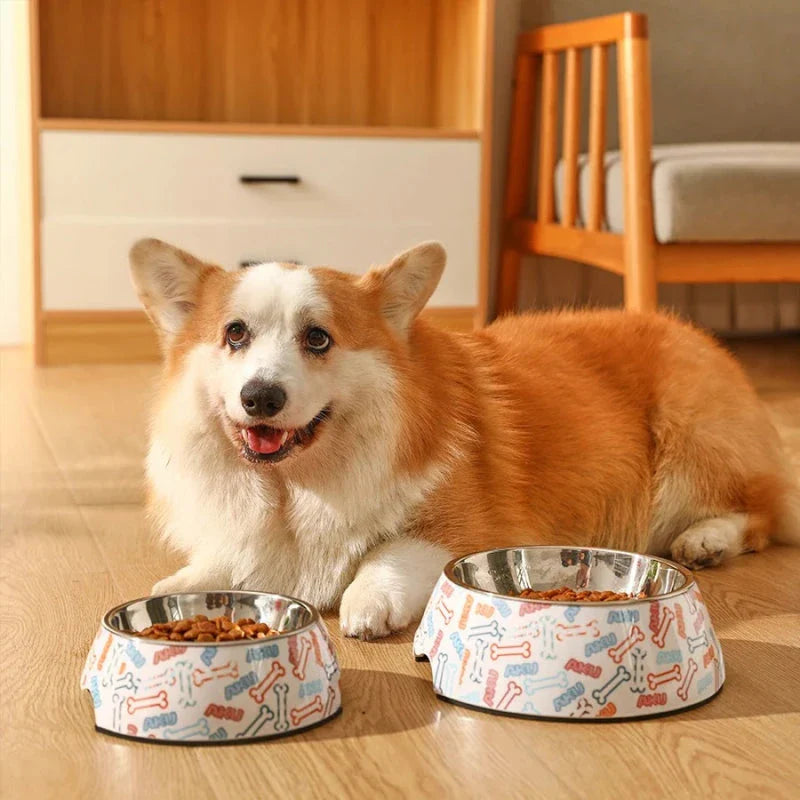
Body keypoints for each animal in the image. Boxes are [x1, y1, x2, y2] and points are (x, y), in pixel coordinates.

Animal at [133, 241, 800, 640]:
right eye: (235, 334)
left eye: (318, 338)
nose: (260, 398)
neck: (295, 488)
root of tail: (708, 341)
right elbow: (230, 558)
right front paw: (188, 583)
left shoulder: (463, 530)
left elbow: (387, 554)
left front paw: (366, 603)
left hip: (690, 448)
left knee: (760, 512)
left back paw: (707, 540)